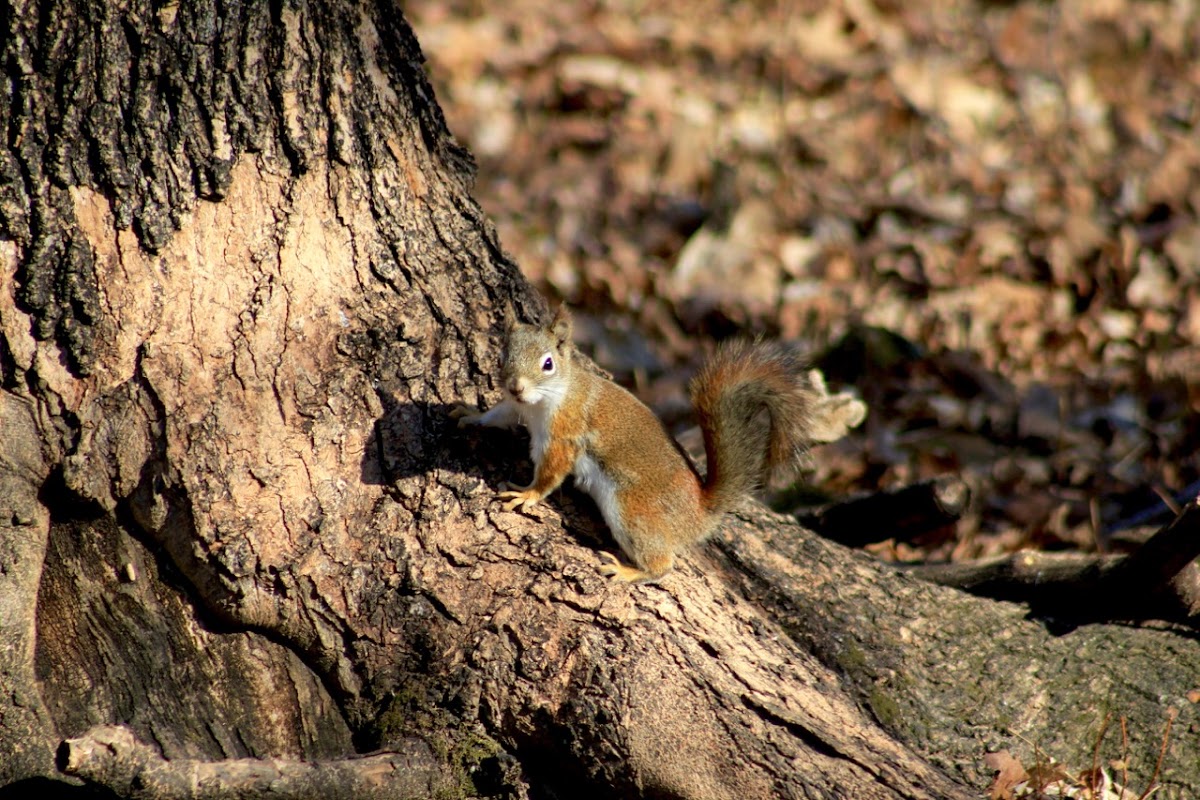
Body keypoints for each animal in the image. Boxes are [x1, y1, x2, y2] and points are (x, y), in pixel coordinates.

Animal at [451, 304, 864, 582]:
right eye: (502, 356)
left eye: (548, 363)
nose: (516, 386)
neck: (542, 404)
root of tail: (700, 512)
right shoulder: (518, 410)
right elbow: (499, 415)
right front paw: (468, 413)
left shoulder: (565, 434)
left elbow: (551, 473)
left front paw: (527, 495)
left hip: (633, 511)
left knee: (663, 566)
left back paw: (628, 572)